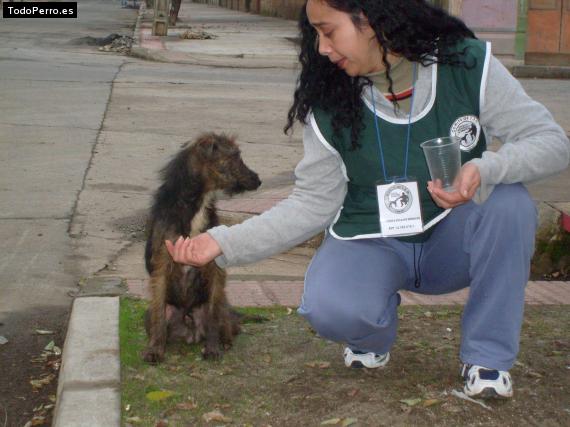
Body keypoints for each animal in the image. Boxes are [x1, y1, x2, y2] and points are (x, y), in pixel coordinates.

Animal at [142, 134, 260, 364]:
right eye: (235, 156)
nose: (258, 180)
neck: (197, 203)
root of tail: (190, 326)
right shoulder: (162, 265)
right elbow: (159, 314)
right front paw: (155, 350)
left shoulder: (214, 267)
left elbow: (213, 315)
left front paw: (212, 348)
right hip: (151, 312)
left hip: (223, 304)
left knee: (229, 323)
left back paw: (225, 341)